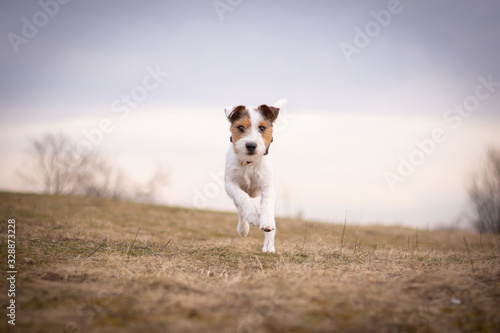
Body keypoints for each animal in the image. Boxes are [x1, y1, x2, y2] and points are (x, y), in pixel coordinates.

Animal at [225, 98, 288, 252]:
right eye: (241, 128)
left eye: (262, 128)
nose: (251, 145)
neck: (249, 163)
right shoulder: (230, 184)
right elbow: (243, 197)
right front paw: (253, 216)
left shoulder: (267, 187)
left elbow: (267, 207)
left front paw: (266, 223)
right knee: (240, 210)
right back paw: (243, 229)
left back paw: (269, 246)